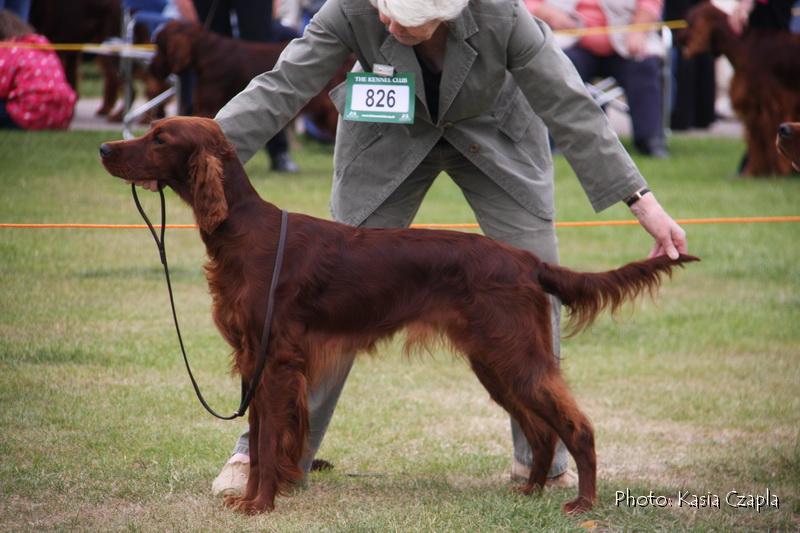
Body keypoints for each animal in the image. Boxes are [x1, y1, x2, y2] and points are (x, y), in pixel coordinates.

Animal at [98, 117, 700, 516]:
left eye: (160, 138)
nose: (104, 146)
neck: (244, 231)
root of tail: (528, 261)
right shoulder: (253, 357)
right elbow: (262, 432)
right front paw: (251, 500)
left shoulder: (276, 361)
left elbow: (269, 441)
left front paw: (261, 505)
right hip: (493, 360)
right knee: (539, 429)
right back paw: (529, 491)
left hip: (516, 356)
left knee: (576, 426)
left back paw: (584, 503)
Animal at [680, 3, 800, 176]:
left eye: (690, 21)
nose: (678, 38)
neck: (743, 46)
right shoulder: (756, 108)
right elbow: (756, 142)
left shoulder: (767, 106)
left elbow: (761, 142)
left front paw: (766, 171)